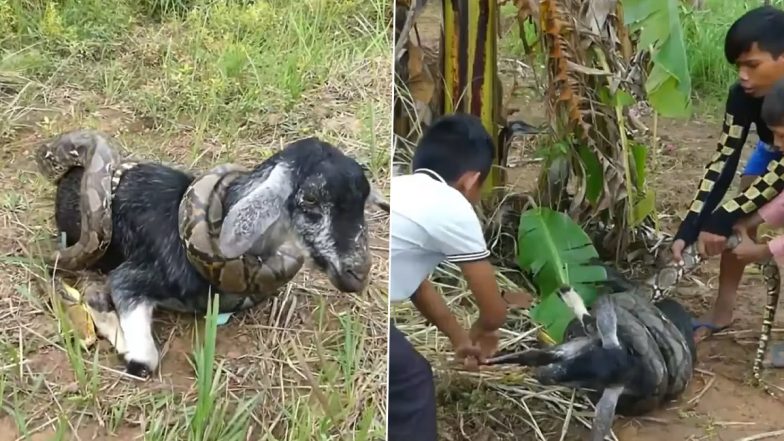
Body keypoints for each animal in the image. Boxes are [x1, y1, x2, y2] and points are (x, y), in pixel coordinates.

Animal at [50, 136, 388, 376]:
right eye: (310, 200)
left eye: (363, 203)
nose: (357, 273)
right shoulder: (132, 277)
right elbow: (145, 359)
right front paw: (114, 332)